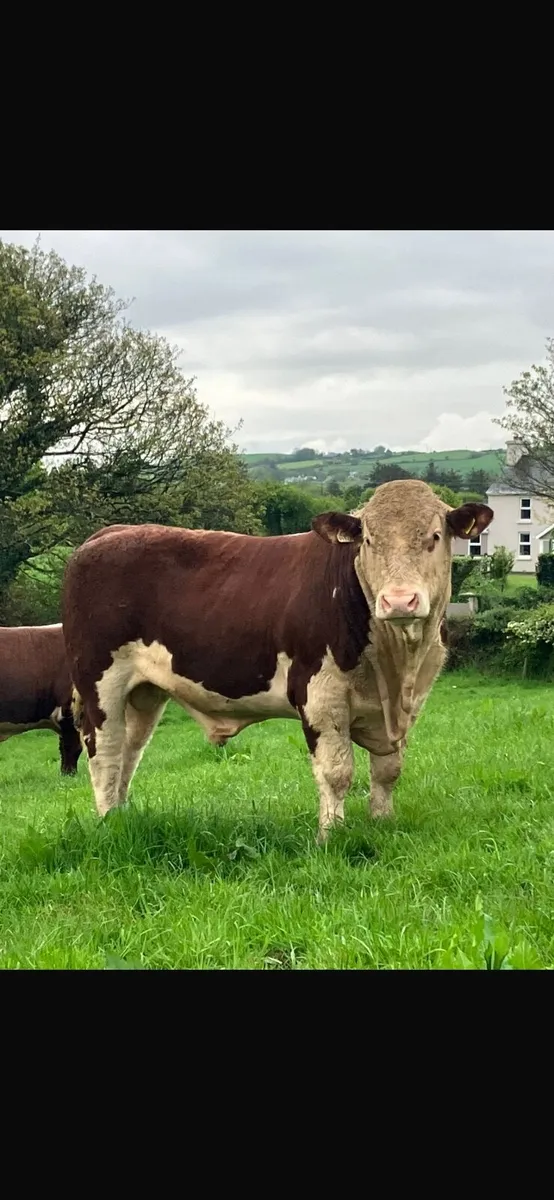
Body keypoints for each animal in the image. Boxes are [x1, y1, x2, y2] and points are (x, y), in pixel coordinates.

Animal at [61, 481, 493, 841]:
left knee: (129, 752)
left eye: (434, 536)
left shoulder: (408, 703)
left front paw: (382, 822)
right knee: (105, 752)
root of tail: (110, 533)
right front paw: (330, 836)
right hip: (100, 684)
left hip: (144, 693)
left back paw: (122, 818)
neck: (394, 667)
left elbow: (388, 770)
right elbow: (336, 772)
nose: (399, 601)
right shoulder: (319, 697)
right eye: (369, 541)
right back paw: (107, 825)